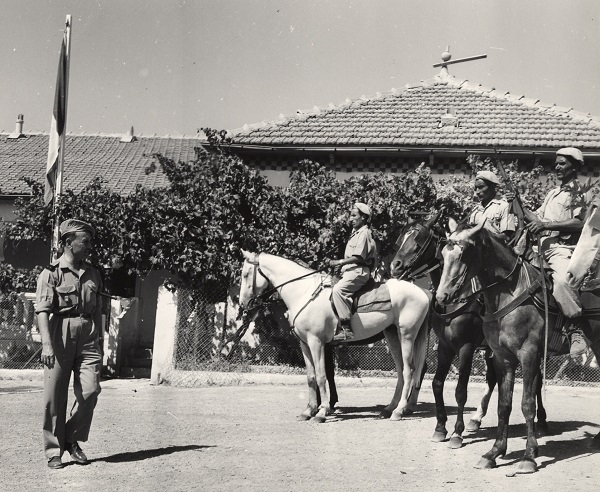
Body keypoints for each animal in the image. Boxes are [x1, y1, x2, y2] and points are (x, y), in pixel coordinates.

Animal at [239, 250, 432, 422]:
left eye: (246, 274)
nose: (243, 304)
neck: (304, 293)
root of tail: (423, 292)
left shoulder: (316, 342)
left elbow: (321, 376)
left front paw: (322, 411)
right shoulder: (305, 344)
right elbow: (311, 377)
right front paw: (308, 411)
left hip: (407, 335)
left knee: (409, 370)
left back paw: (400, 410)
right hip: (392, 335)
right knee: (401, 371)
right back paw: (390, 408)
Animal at [436, 220, 600, 472]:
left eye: (463, 253)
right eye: (444, 253)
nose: (442, 296)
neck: (510, 294)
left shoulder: (527, 354)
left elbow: (526, 404)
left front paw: (529, 456)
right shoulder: (503, 358)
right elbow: (504, 405)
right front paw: (494, 452)